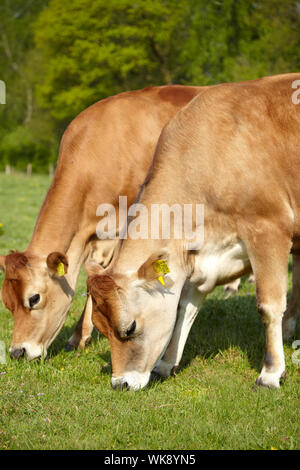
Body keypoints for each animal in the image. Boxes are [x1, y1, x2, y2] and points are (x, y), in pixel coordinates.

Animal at [86, 73, 300, 390]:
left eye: (130, 327)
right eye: (101, 329)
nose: (120, 383)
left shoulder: (268, 230)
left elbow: (269, 306)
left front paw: (271, 373)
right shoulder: (200, 259)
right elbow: (184, 309)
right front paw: (166, 363)